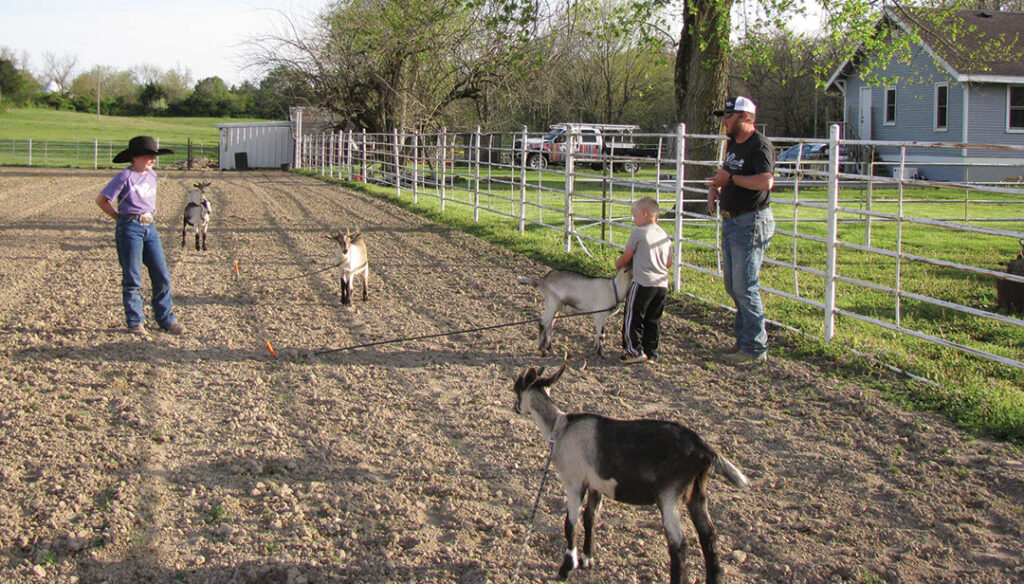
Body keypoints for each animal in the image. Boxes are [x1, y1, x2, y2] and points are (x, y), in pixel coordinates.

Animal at [516, 364, 749, 581]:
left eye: (517, 388)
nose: (516, 407)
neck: (561, 427)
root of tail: (703, 448)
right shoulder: (596, 484)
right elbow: (591, 517)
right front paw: (587, 558)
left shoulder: (573, 483)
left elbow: (571, 524)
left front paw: (566, 568)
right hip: (697, 493)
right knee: (708, 535)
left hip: (669, 496)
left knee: (679, 544)